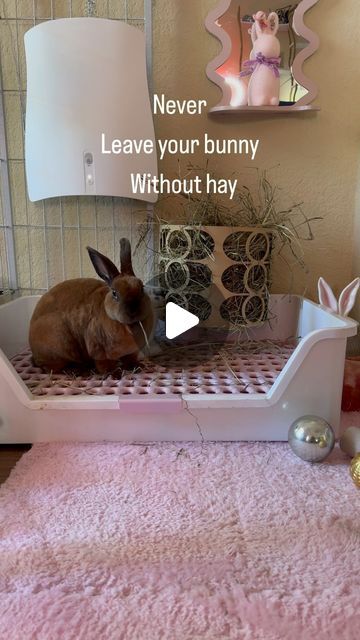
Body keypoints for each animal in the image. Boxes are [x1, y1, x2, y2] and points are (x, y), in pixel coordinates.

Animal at [29, 238, 153, 372]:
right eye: (115, 293)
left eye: (142, 288)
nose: (133, 310)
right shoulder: (98, 350)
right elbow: (103, 364)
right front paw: (113, 373)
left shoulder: (132, 352)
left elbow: (130, 359)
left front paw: (137, 366)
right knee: (52, 367)